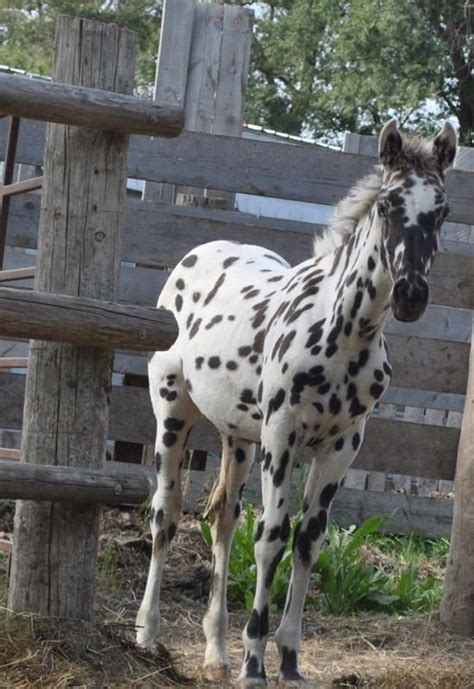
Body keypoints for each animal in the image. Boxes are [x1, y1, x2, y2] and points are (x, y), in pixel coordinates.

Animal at [135, 119, 458, 684]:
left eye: (440, 210)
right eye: (387, 205)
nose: (410, 296)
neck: (343, 331)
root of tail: (196, 256)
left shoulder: (343, 444)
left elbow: (309, 539)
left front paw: (287, 658)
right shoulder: (282, 435)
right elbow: (272, 536)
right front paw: (255, 660)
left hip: (238, 437)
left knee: (222, 517)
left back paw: (215, 653)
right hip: (174, 413)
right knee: (166, 513)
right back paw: (149, 635)